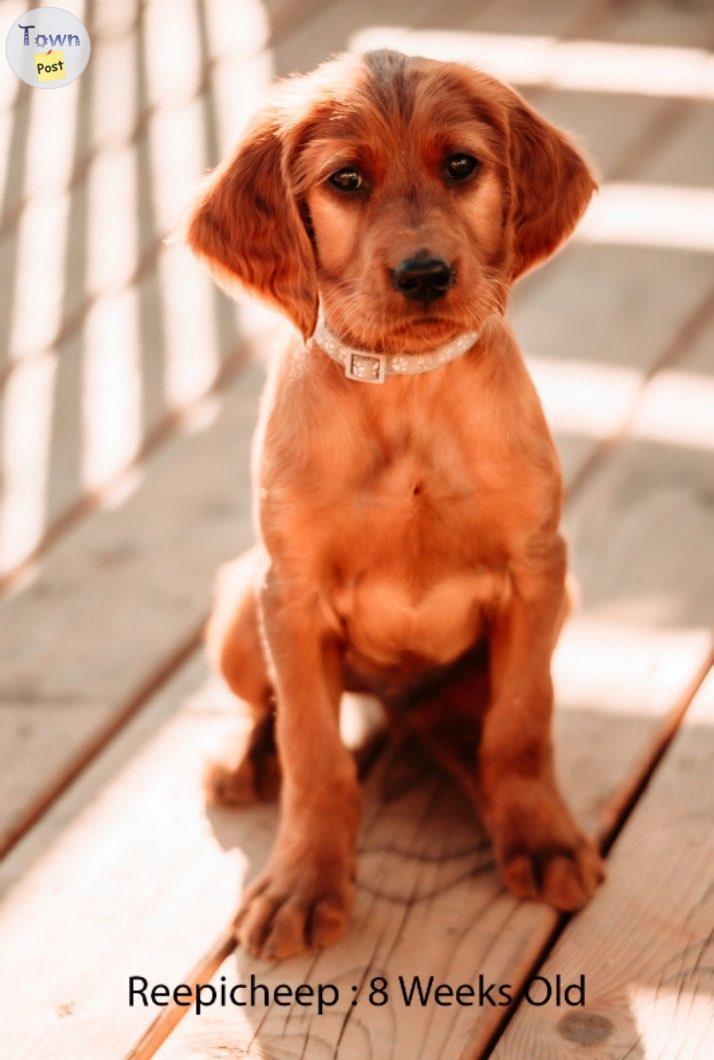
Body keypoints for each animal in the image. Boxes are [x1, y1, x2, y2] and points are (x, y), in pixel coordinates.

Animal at [187, 49, 601, 962]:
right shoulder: (292, 593)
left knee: (468, 723)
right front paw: (303, 883)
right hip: (238, 614)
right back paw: (246, 763)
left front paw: (541, 836)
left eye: (462, 167)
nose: (424, 274)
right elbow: (314, 752)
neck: (409, 395)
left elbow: (522, 723)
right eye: (346, 179)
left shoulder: (537, 568)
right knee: (270, 709)